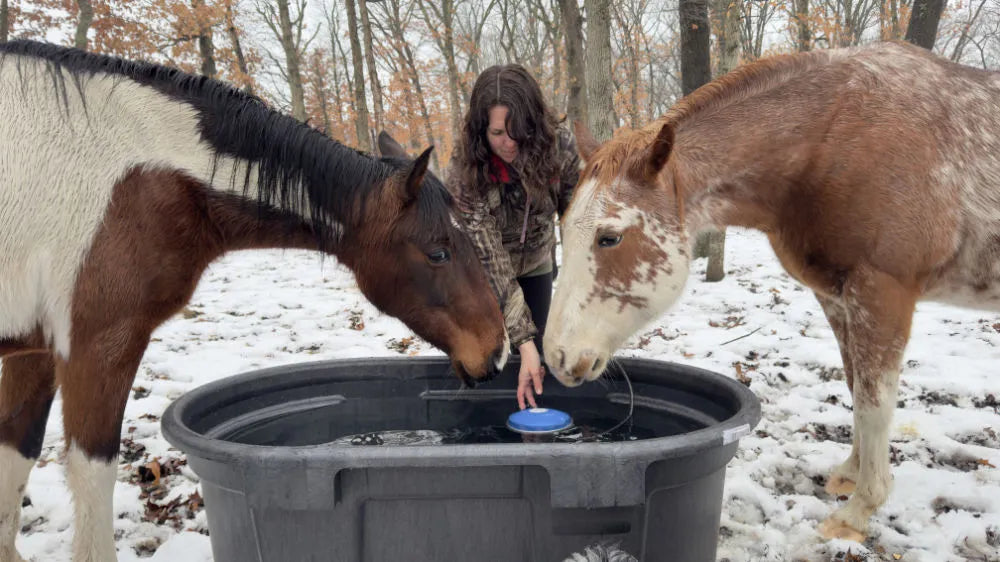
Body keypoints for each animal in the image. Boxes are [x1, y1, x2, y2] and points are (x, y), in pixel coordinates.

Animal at [0, 41, 507, 562]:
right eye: (438, 252)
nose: (498, 350)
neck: (148, 180)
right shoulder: (97, 346)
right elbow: (90, 478)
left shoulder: (35, 350)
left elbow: (15, 459)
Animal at [544, 40, 1000, 542]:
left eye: (609, 238)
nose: (558, 357)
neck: (835, 138)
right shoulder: (838, 296)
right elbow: (855, 388)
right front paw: (850, 474)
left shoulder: (883, 291)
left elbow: (875, 403)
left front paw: (860, 509)